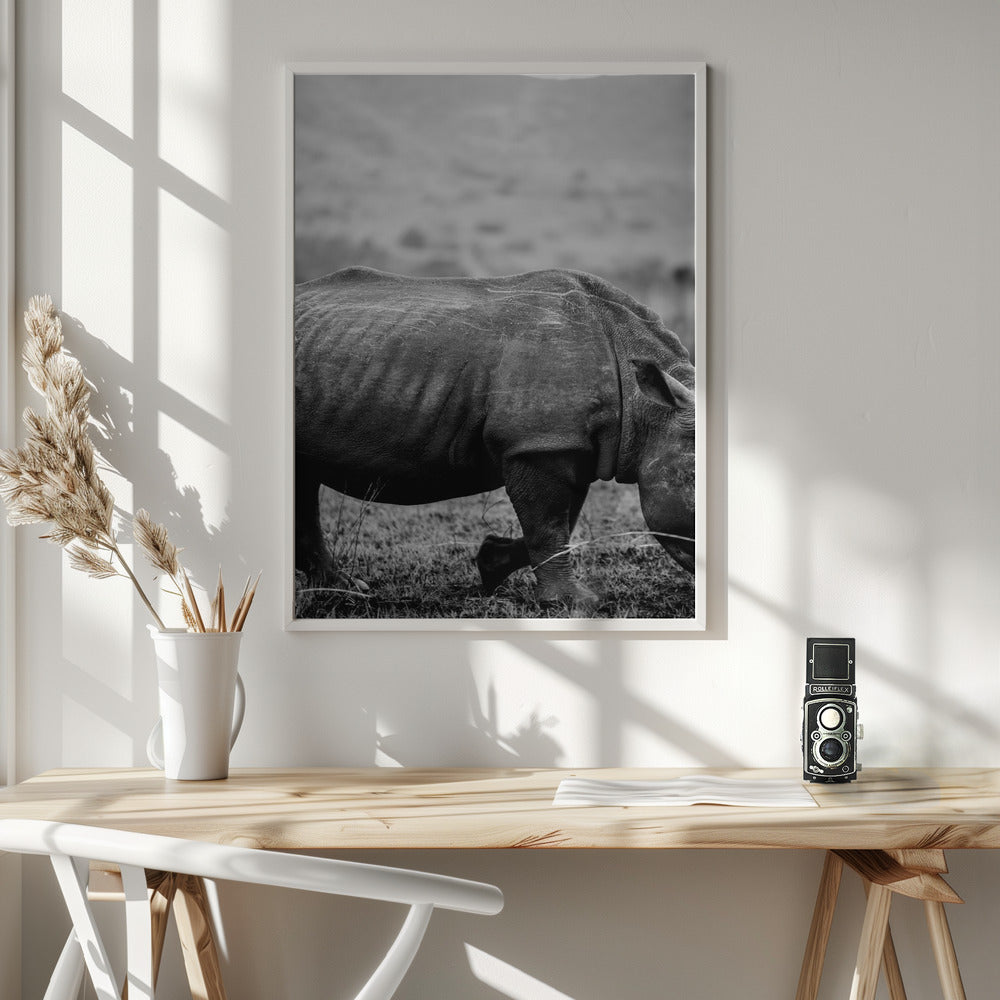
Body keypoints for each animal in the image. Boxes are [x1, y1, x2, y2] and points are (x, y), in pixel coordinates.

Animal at [294, 266, 696, 609]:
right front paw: (573, 602)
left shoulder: (568, 444)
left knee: (304, 480)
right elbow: (549, 524)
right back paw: (345, 590)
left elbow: (563, 519)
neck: (648, 409)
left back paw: (341, 588)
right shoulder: (538, 443)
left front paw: (491, 564)